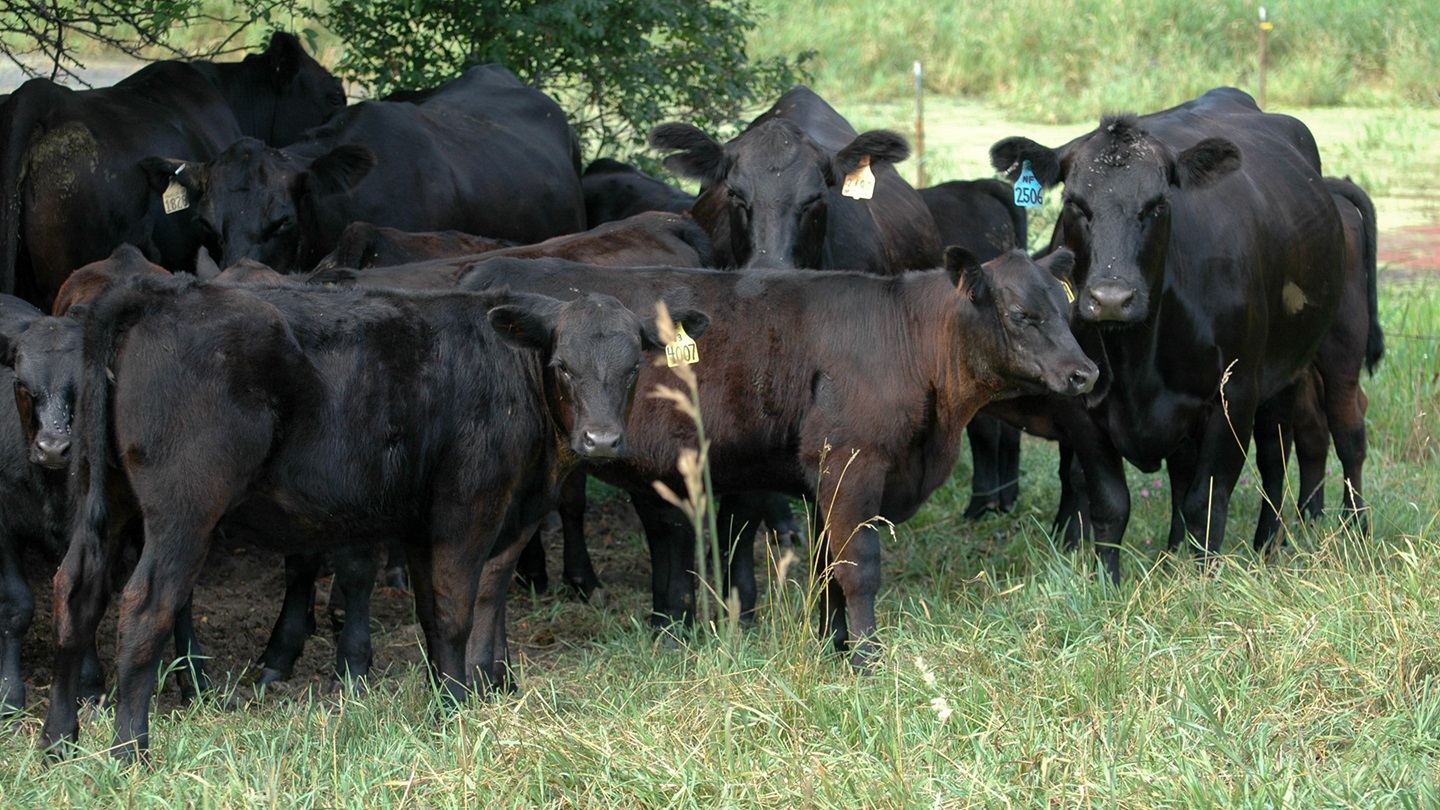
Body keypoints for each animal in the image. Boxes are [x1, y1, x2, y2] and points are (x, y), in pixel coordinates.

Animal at [38, 274, 707, 760]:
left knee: (76, 591)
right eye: (564, 365)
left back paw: (58, 743)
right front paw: (457, 710)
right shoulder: (468, 510)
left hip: (109, 501)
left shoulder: (438, 523)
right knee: (144, 605)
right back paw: (130, 752)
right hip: (184, 508)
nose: (602, 440)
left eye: (633, 367)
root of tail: (158, 292)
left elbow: (447, 612)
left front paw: (463, 698)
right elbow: (457, 612)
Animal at [460, 247, 1097, 668]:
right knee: (488, 574)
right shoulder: (853, 465)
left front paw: (833, 648)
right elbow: (859, 569)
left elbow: (826, 572)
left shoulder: (824, 481)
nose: (1084, 373)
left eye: (1065, 312)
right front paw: (868, 659)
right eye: (1020, 315)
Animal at [987, 87, 1345, 580]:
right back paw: (1175, 553)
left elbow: (1206, 503)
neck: (1136, 354)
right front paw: (1108, 583)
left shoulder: (1235, 394)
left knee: (1275, 459)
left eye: (1157, 204)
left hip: (1286, 372)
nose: (1111, 297)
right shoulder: (1080, 404)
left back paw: (1267, 547)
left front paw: (1206, 582)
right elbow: (1111, 504)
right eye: (1076, 204)